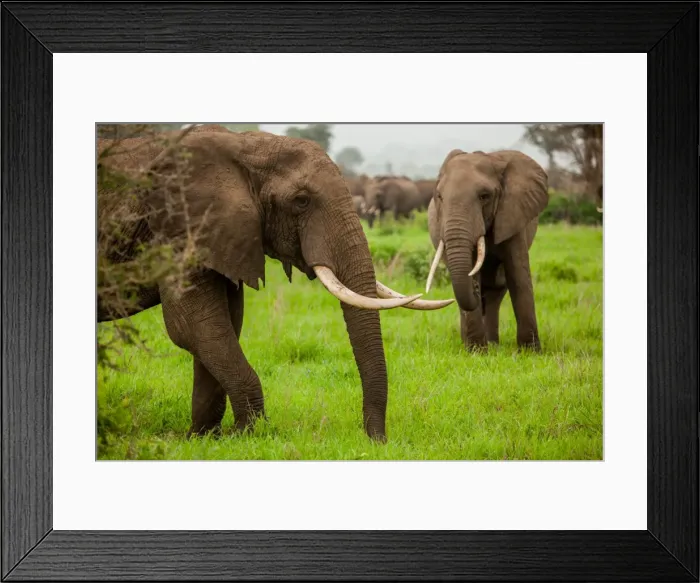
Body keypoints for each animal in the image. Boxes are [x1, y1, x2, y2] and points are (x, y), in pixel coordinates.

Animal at [97, 124, 453, 443]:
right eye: (301, 201)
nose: (377, 440)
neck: (244, 146)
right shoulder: (176, 228)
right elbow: (193, 328)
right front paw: (246, 434)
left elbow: (222, 325)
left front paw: (203, 438)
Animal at [426, 148, 549, 352]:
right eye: (440, 197)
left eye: (484, 196)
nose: (476, 289)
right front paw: (476, 352)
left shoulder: (513, 215)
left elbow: (518, 275)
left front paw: (531, 352)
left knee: (496, 291)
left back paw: (493, 345)